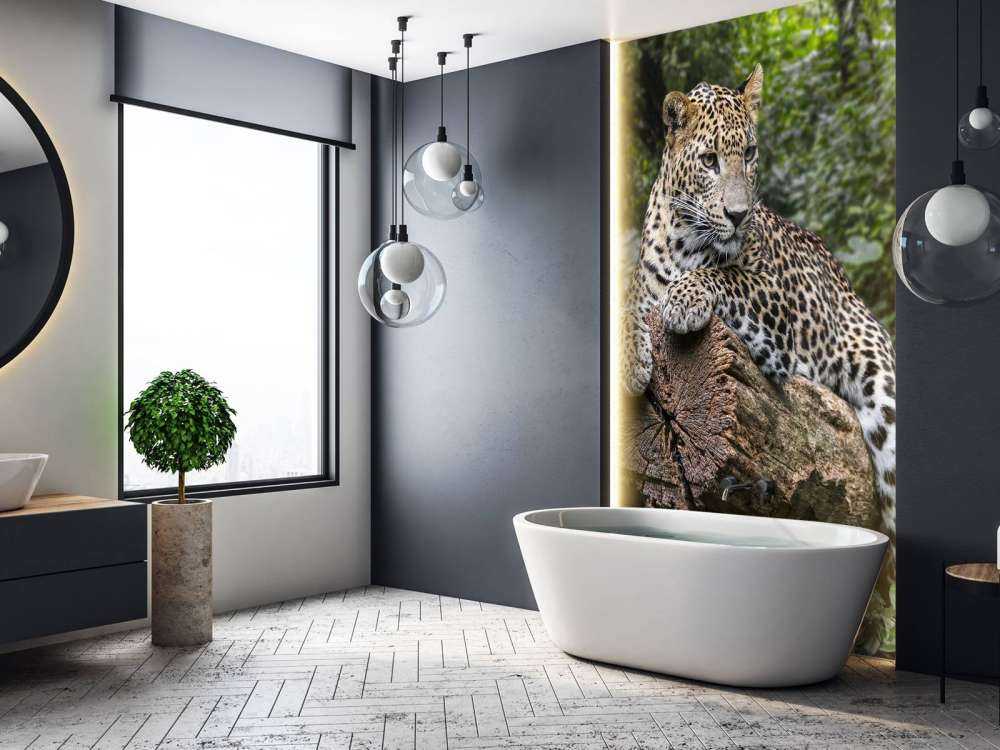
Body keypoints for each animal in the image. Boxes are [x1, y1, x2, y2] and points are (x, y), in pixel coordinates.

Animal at [621, 64, 896, 536]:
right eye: (709, 161)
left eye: (749, 153)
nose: (738, 215)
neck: (685, 240)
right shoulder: (641, 289)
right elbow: (623, 307)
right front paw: (629, 362)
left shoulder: (775, 307)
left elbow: (725, 276)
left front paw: (683, 300)